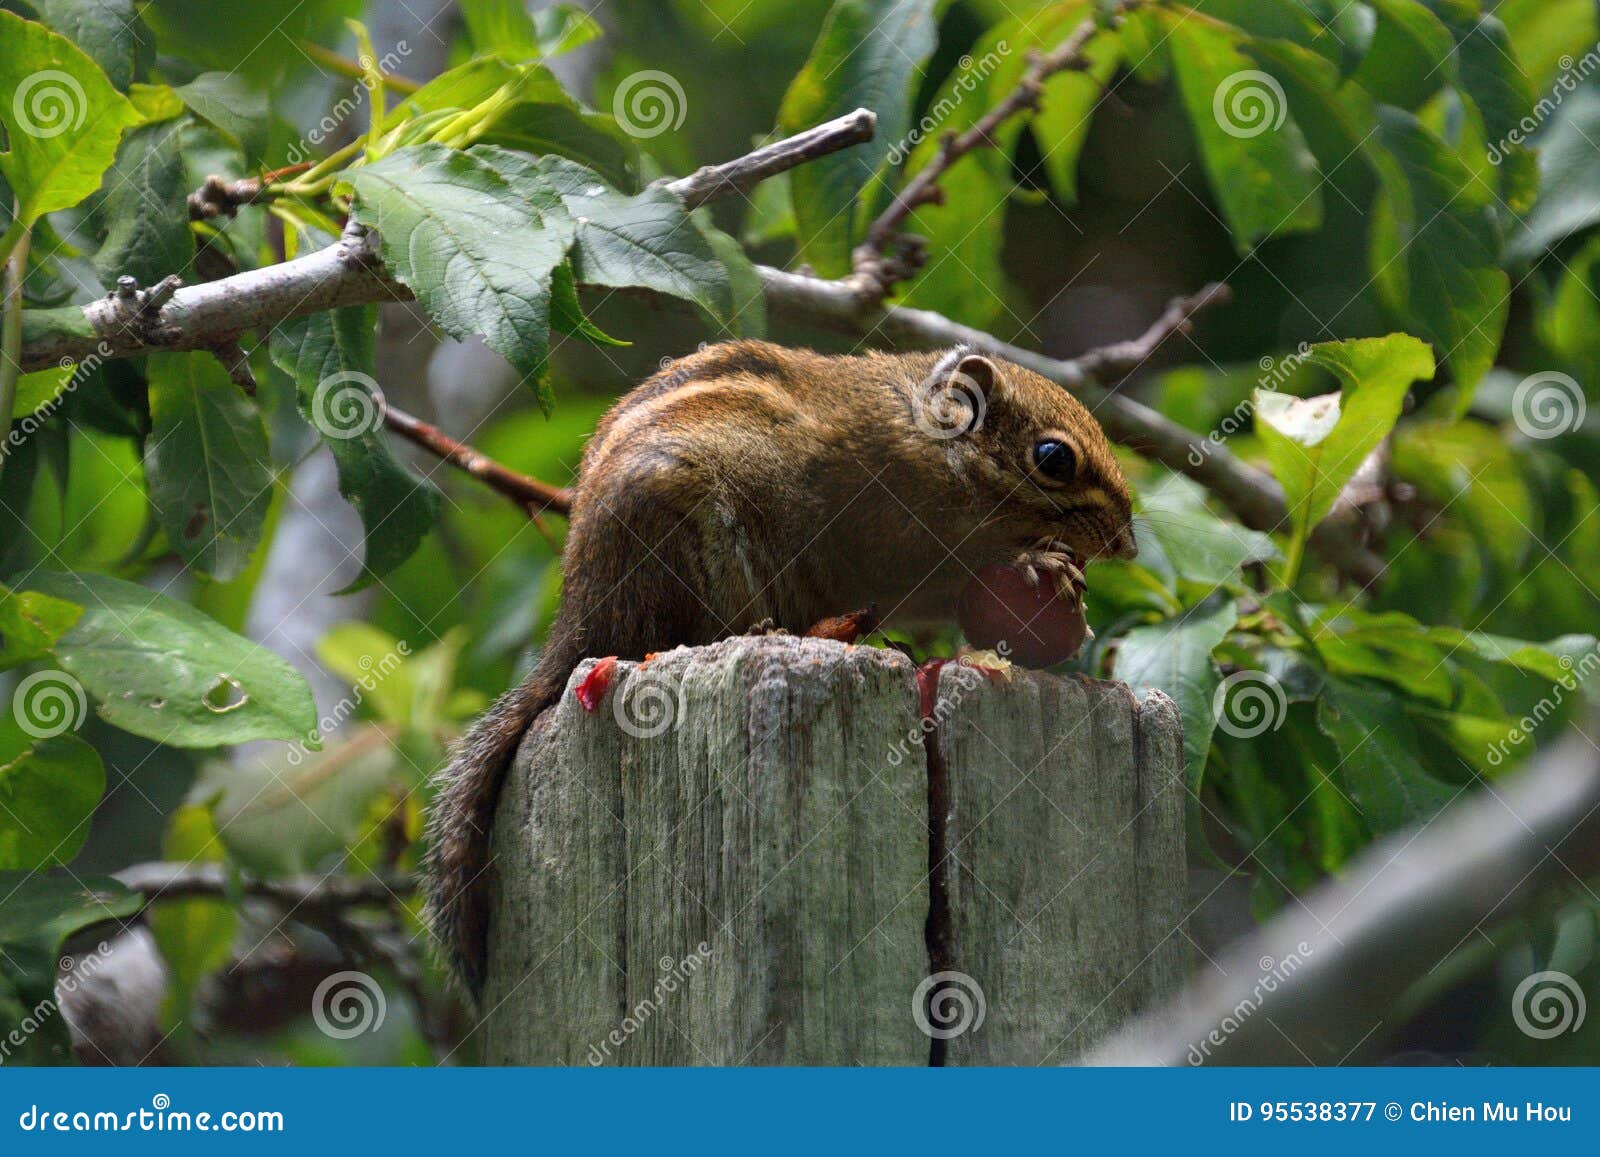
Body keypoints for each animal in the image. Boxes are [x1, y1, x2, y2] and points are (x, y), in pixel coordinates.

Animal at [424, 339, 1138, 996]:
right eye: (1054, 459)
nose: (1128, 544)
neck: (932, 445)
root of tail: (577, 624)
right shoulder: (896, 536)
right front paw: (1036, 564)